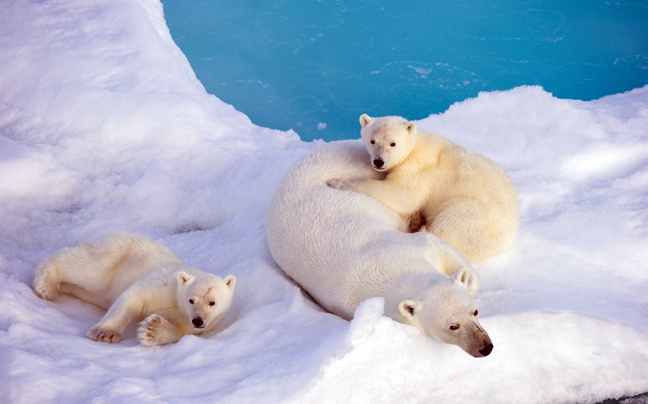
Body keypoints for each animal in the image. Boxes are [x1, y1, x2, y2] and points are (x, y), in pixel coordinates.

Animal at [33, 234, 235, 348]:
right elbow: (134, 298)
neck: (177, 300)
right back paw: (46, 285)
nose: (198, 320)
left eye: (212, 302)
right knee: (87, 269)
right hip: (114, 256)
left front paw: (152, 329)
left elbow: (176, 330)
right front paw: (104, 333)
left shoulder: (187, 322)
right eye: (191, 300)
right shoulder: (163, 283)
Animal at [266, 141, 494, 356]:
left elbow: (442, 249)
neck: (391, 267)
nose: (486, 347)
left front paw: (466, 278)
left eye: (474, 312)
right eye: (452, 326)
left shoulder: (416, 246)